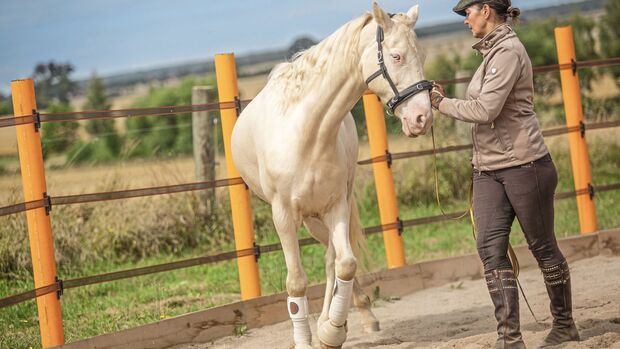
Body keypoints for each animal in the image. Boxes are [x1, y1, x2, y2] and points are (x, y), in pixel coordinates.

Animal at [231, 2, 432, 346]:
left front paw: (331, 331)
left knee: (331, 259)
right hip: (309, 220)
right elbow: (296, 282)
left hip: (322, 215)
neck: (308, 133)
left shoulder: (335, 207)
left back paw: (347, 318)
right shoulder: (284, 216)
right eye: (396, 56)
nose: (422, 117)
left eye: (421, 54)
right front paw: (303, 340)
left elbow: (346, 265)